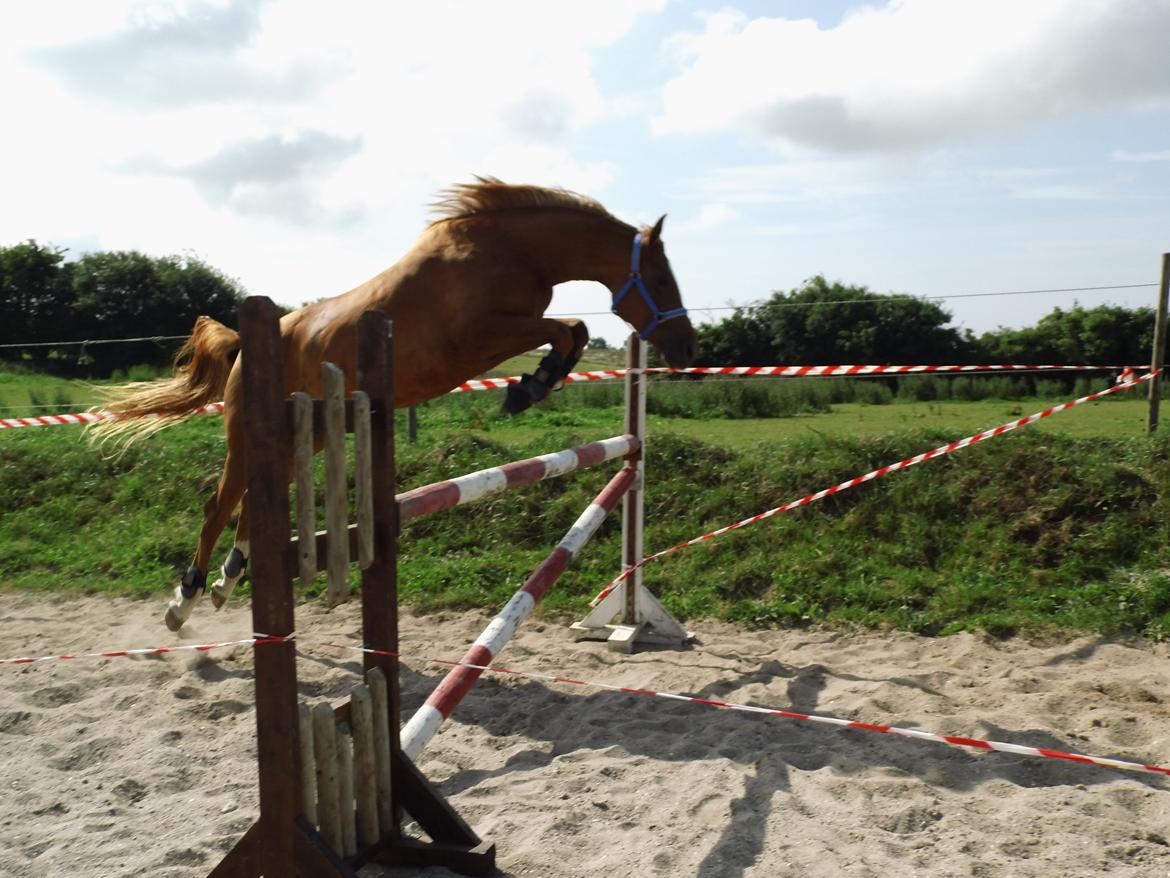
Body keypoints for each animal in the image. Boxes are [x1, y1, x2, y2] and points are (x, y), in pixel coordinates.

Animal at [98, 180, 692, 632]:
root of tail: (247, 344)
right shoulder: (479, 337)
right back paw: (186, 601)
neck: (511, 250)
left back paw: (229, 578)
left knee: (252, 504)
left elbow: (573, 330)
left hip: (308, 434)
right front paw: (530, 386)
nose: (687, 350)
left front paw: (535, 382)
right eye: (662, 277)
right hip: (248, 434)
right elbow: (567, 328)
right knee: (218, 506)